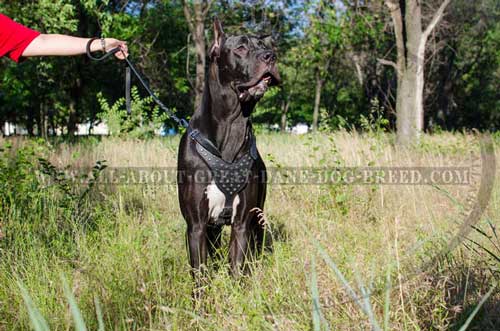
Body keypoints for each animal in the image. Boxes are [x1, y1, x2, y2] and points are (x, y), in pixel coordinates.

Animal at [177, 17, 280, 278]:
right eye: (241, 48)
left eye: (263, 45)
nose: (270, 56)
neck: (232, 123)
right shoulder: (196, 225)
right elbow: (200, 273)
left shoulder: (242, 222)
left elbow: (237, 267)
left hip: (258, 216)